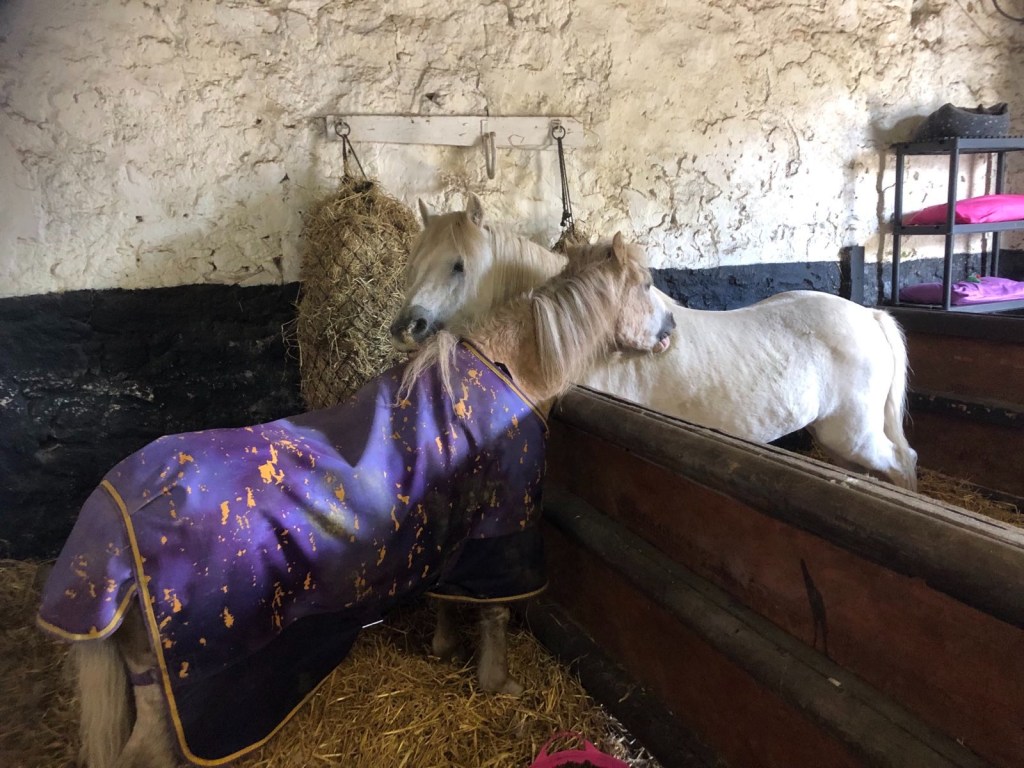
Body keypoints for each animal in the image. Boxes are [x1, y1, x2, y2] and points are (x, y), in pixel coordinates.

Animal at [38, 232, 673, 768]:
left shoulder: (450, 535)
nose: (671, 330)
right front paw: (499, 681)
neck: (509, 370)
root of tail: (109, 525)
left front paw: (444, 648)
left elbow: (447, 602)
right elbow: (493, 613)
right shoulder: (501, 531)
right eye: (645, 284)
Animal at [390, 194, 918, 490]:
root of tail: (868, 316)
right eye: (413, 261)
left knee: (903, 462)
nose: (405, 328)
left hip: (857, 436)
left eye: (458, 265)